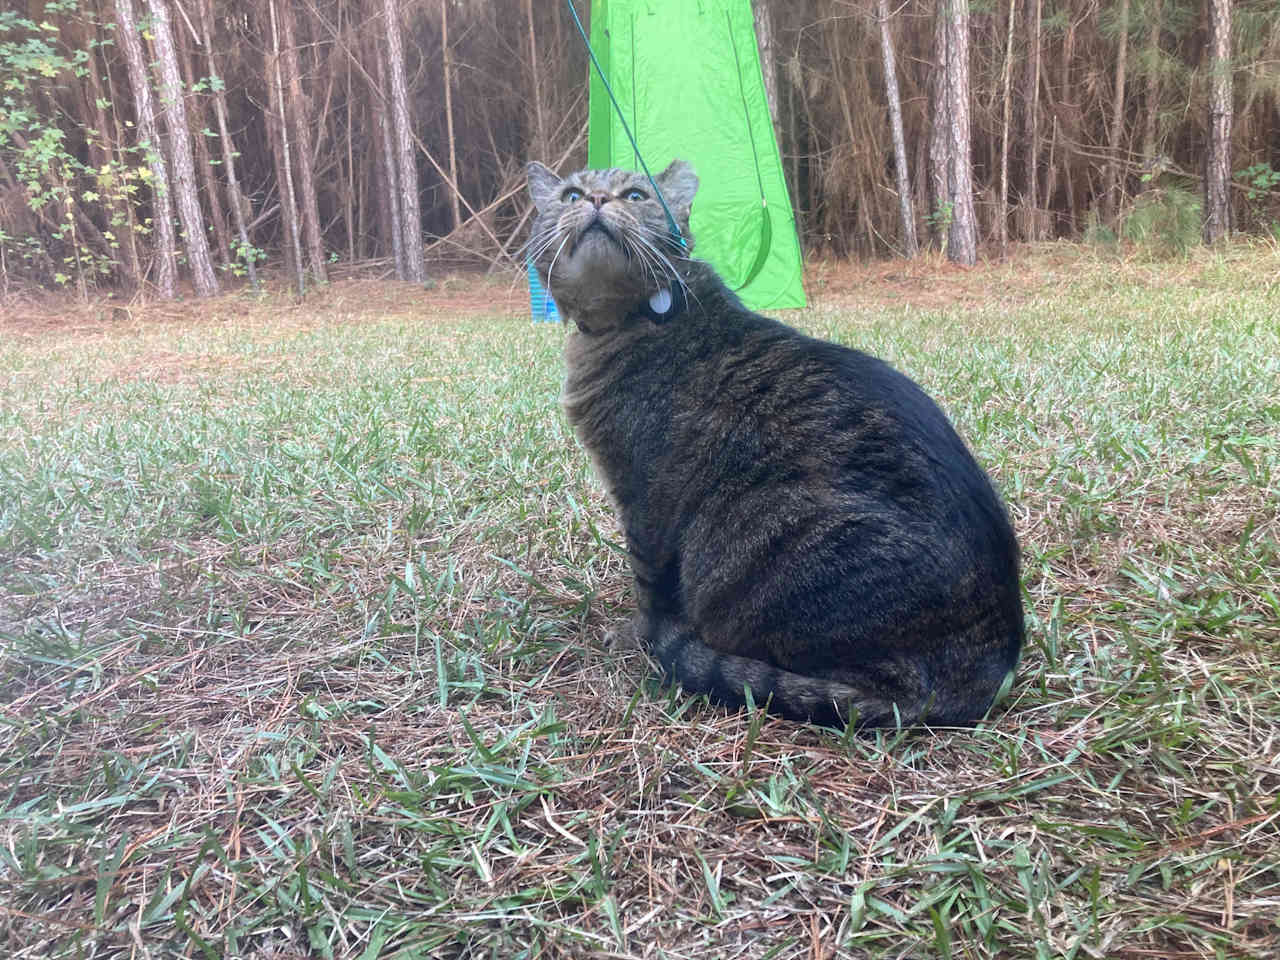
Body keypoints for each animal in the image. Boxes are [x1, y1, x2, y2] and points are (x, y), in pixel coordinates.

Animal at [524, 160, 1024, 727]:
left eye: (634, 195)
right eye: (570, 195)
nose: (597, 201)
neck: (629, 319)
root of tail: (988, 665)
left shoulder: (643, 494)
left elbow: (648, 586)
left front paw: (636, 635)